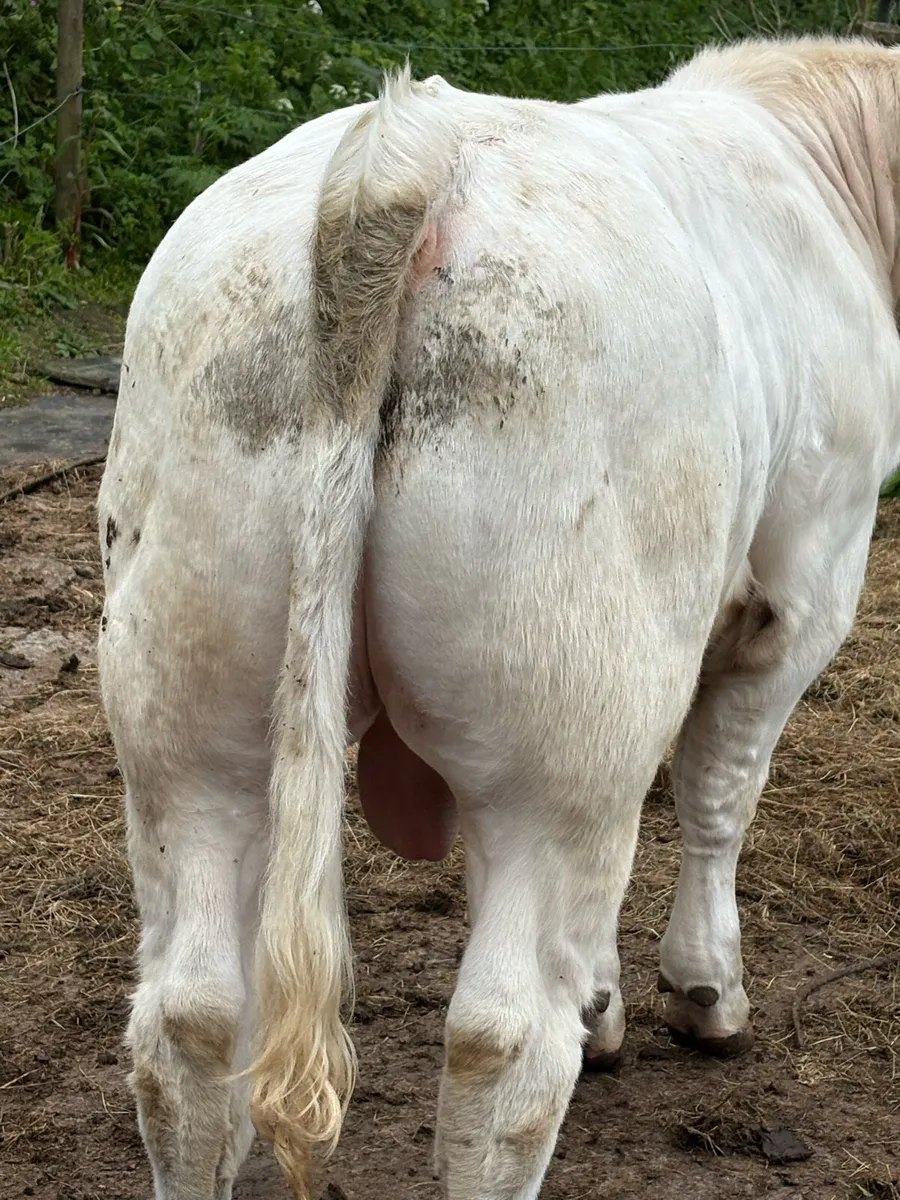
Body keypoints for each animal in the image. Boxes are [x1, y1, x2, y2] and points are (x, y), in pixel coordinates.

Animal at [97, 35, 900, 1200]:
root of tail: (403, 151)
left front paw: (608, 1001)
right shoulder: (804, 584)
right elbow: (718, 796)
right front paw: (703, 992)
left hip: (190, 719)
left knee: (190, 1020)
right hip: (560, 735)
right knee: (504, 1043)